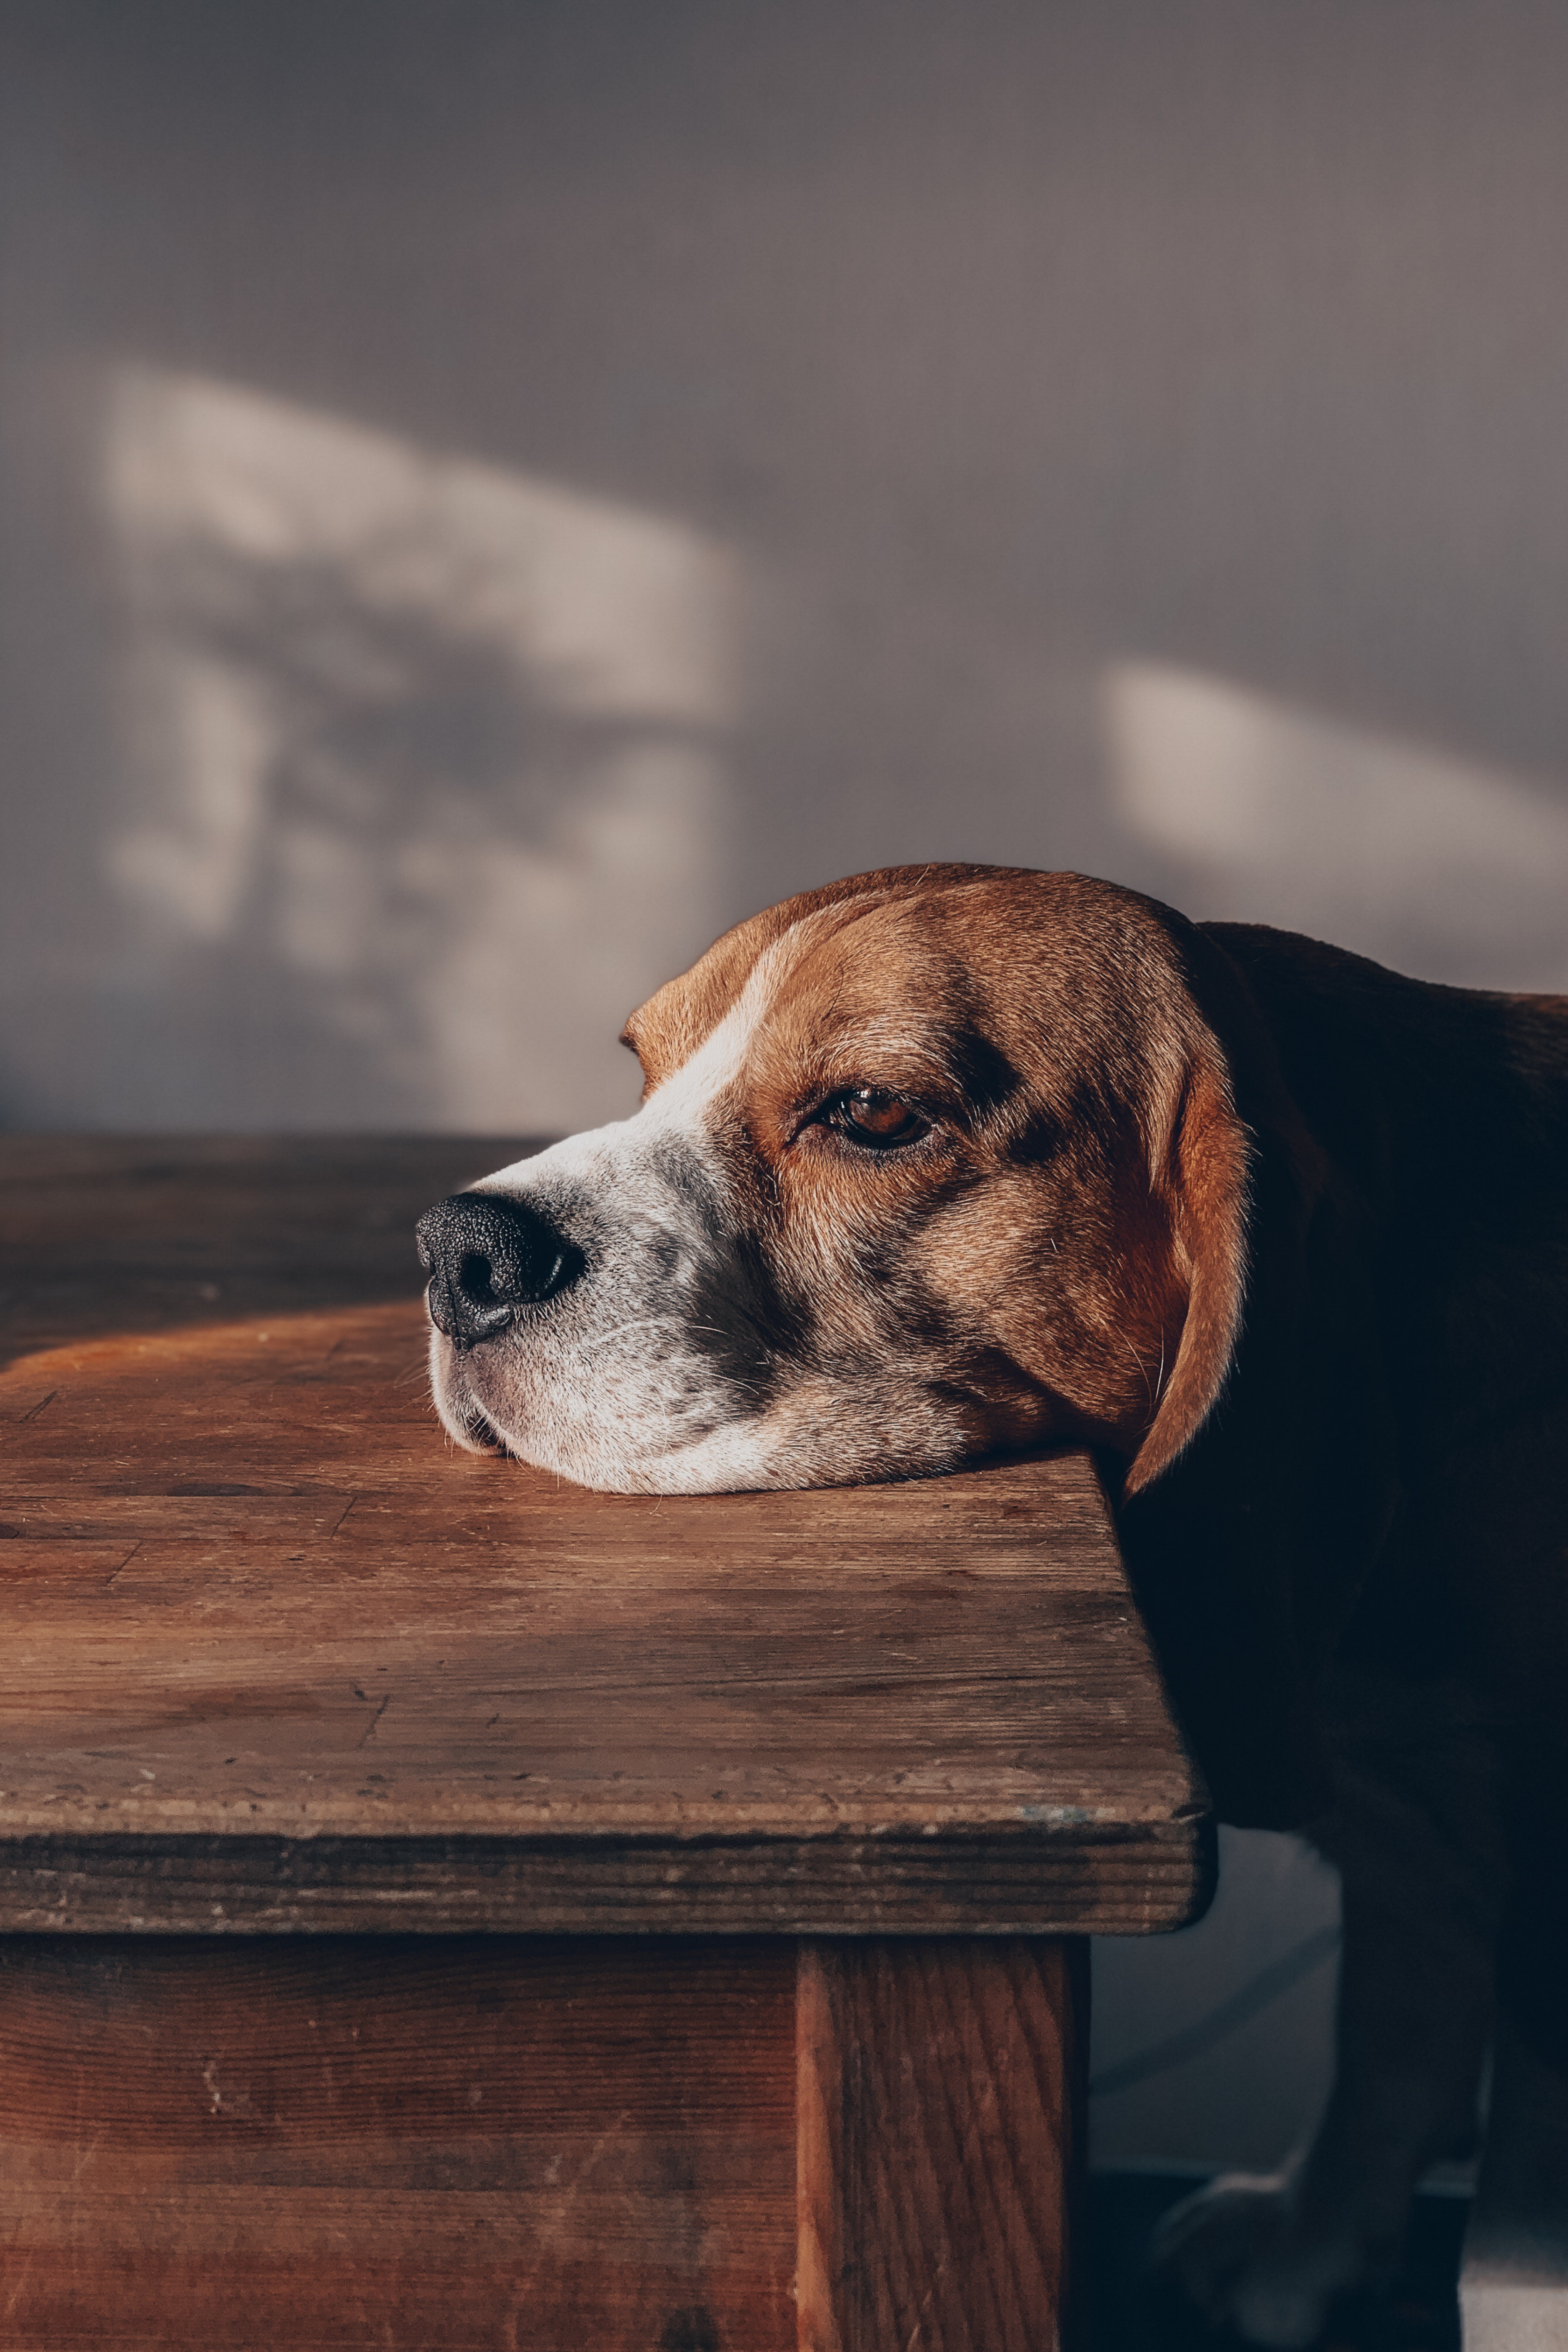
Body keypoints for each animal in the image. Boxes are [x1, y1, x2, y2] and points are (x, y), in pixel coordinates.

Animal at [421, 870, 1568, 2352]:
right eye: (647, 1066)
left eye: (871, 1112)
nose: (458, 1251)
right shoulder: (1412, 1840)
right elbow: (1393, 2031)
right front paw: (1314, 2243)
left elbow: (1511, 2233)